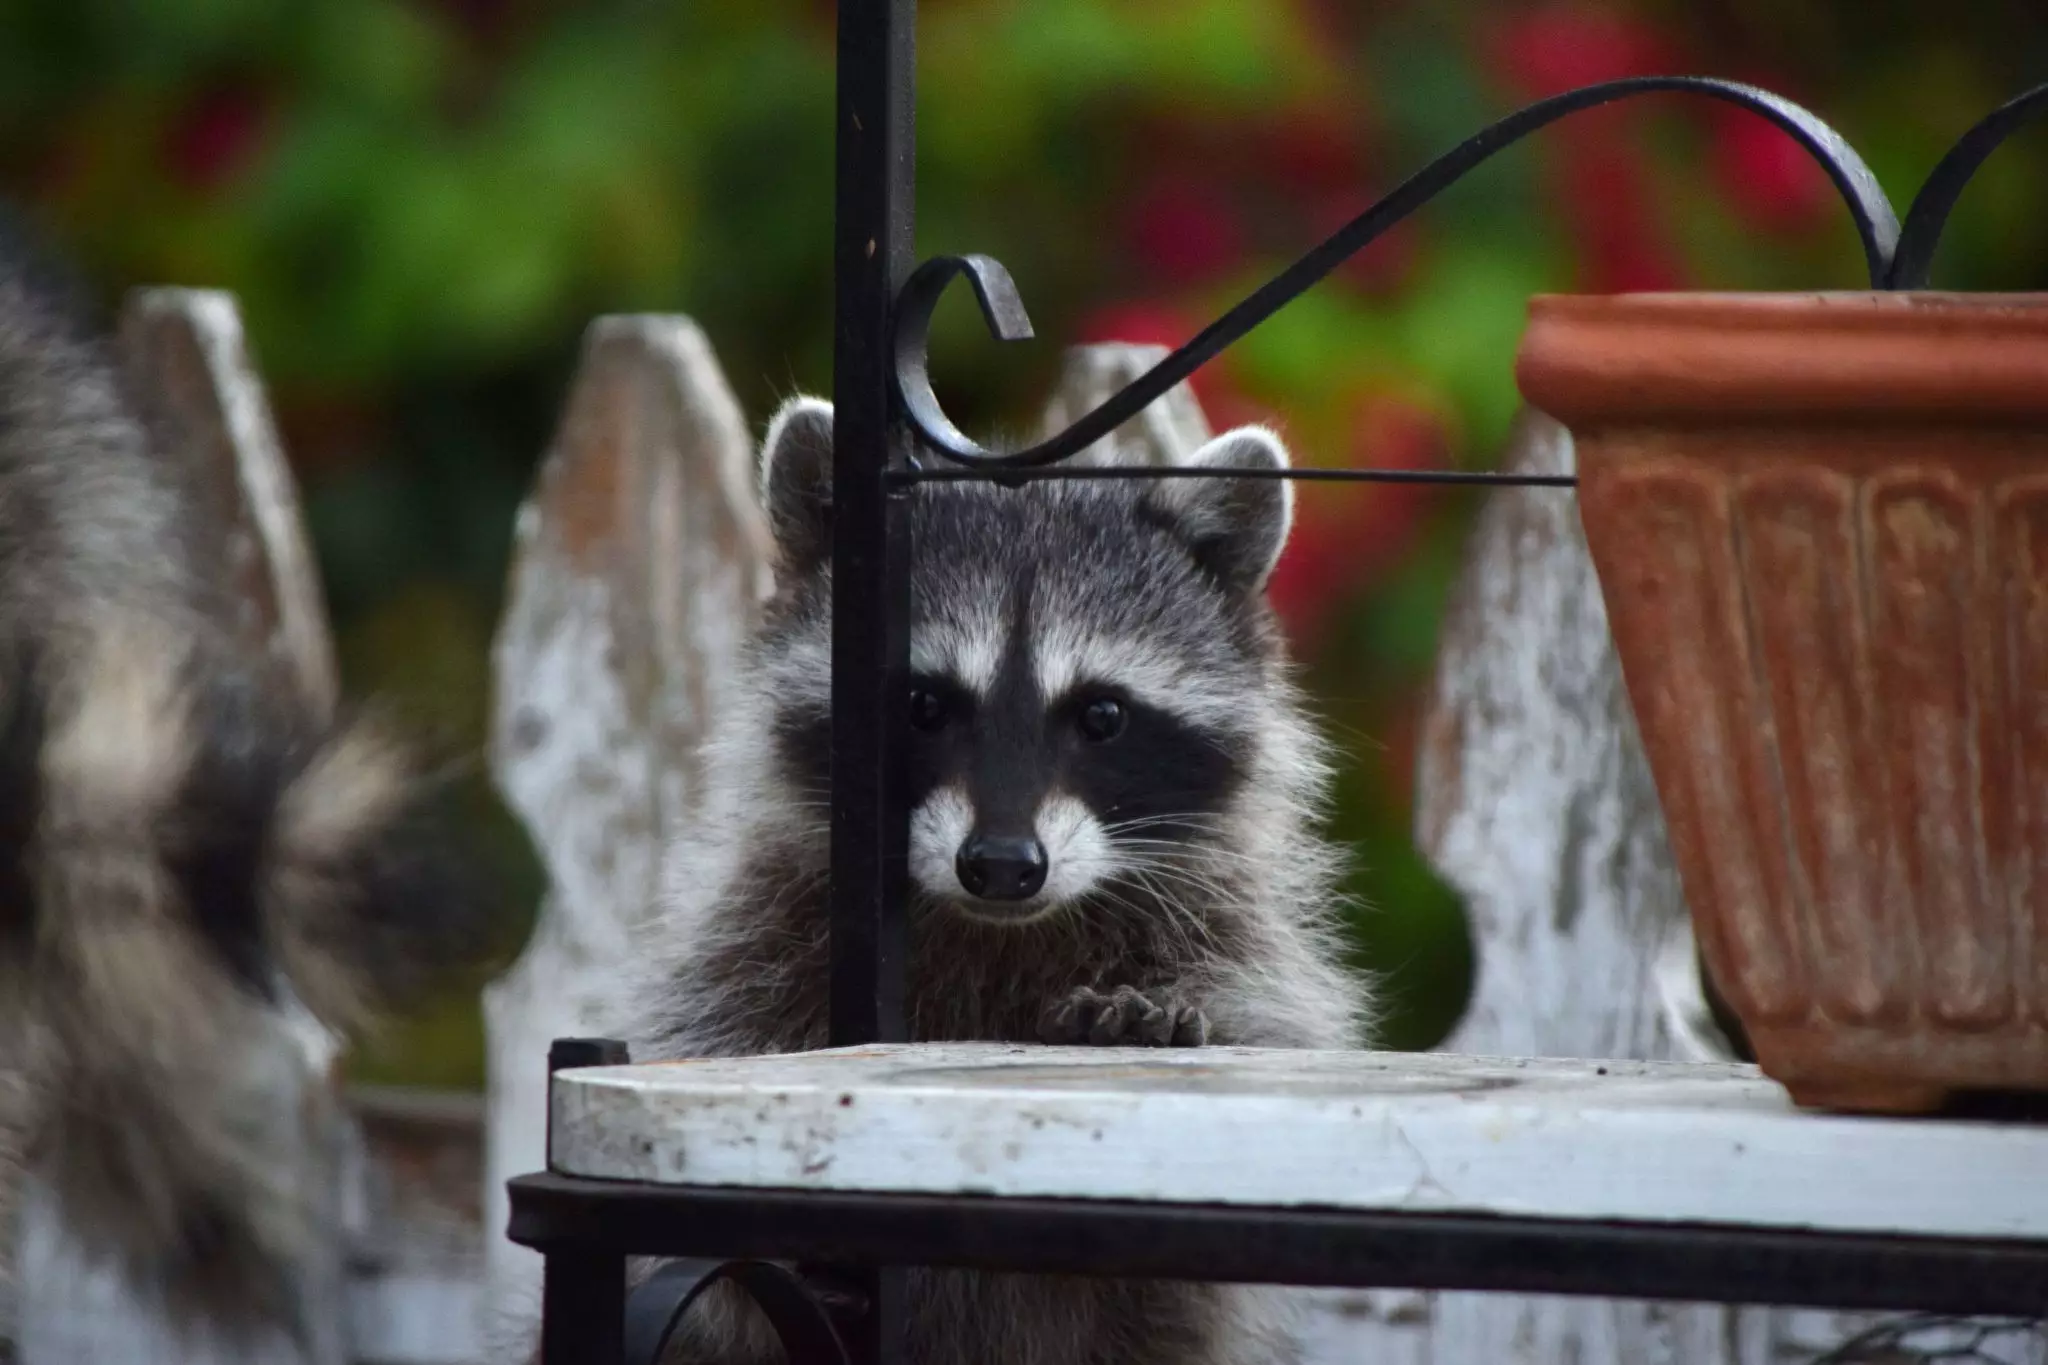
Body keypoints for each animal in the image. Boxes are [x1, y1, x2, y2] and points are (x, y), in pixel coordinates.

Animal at [614, 394, 1368, 1365]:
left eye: (1103, 714)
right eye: (925, 705)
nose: (1003, 866)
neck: (1002, 930)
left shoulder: (1230, 930)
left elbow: (1256, 1030)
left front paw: (1151, 1012)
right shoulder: (752, 933)